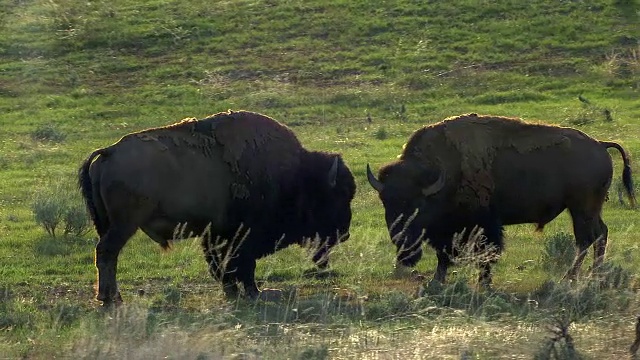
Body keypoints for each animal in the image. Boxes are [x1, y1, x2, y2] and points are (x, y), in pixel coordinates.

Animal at [78, 110, 358, 304]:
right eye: (337, 196)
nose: (345, 233)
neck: (294, 175)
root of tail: (109, 152)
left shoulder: (217, 233)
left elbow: (224, 265)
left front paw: (234, 292)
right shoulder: (241, 235)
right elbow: (241, 266)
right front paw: (253, 293)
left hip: (109, 224)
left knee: (107, 254)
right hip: (124, 224)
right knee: (106, 252)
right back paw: (110, 298)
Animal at [368, 113, 632, 286]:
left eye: (418, 205)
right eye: (386, 202)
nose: (405, 251)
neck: (443, 169)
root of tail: (600, 145)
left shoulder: (483, 224)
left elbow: (484, 255)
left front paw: (483, 284)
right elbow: (444, 256)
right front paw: (437, 281)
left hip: (582, 209)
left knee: (588, 238)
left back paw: (576, 277)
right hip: (588, 209)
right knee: (599, 234)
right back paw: (592, 275)